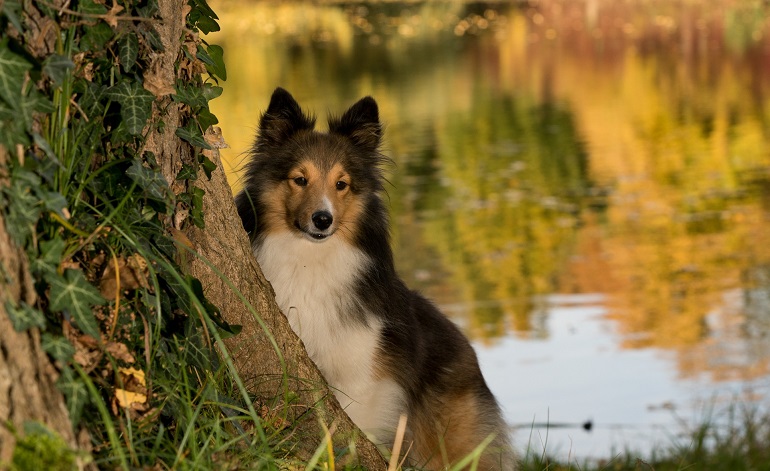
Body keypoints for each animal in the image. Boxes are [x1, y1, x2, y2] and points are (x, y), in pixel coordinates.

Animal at [234, 87, 510, 468]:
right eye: (299, 179)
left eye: (342, 184)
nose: (323, 220)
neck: (309, 260)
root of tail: (469, 350)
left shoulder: (361, 374)